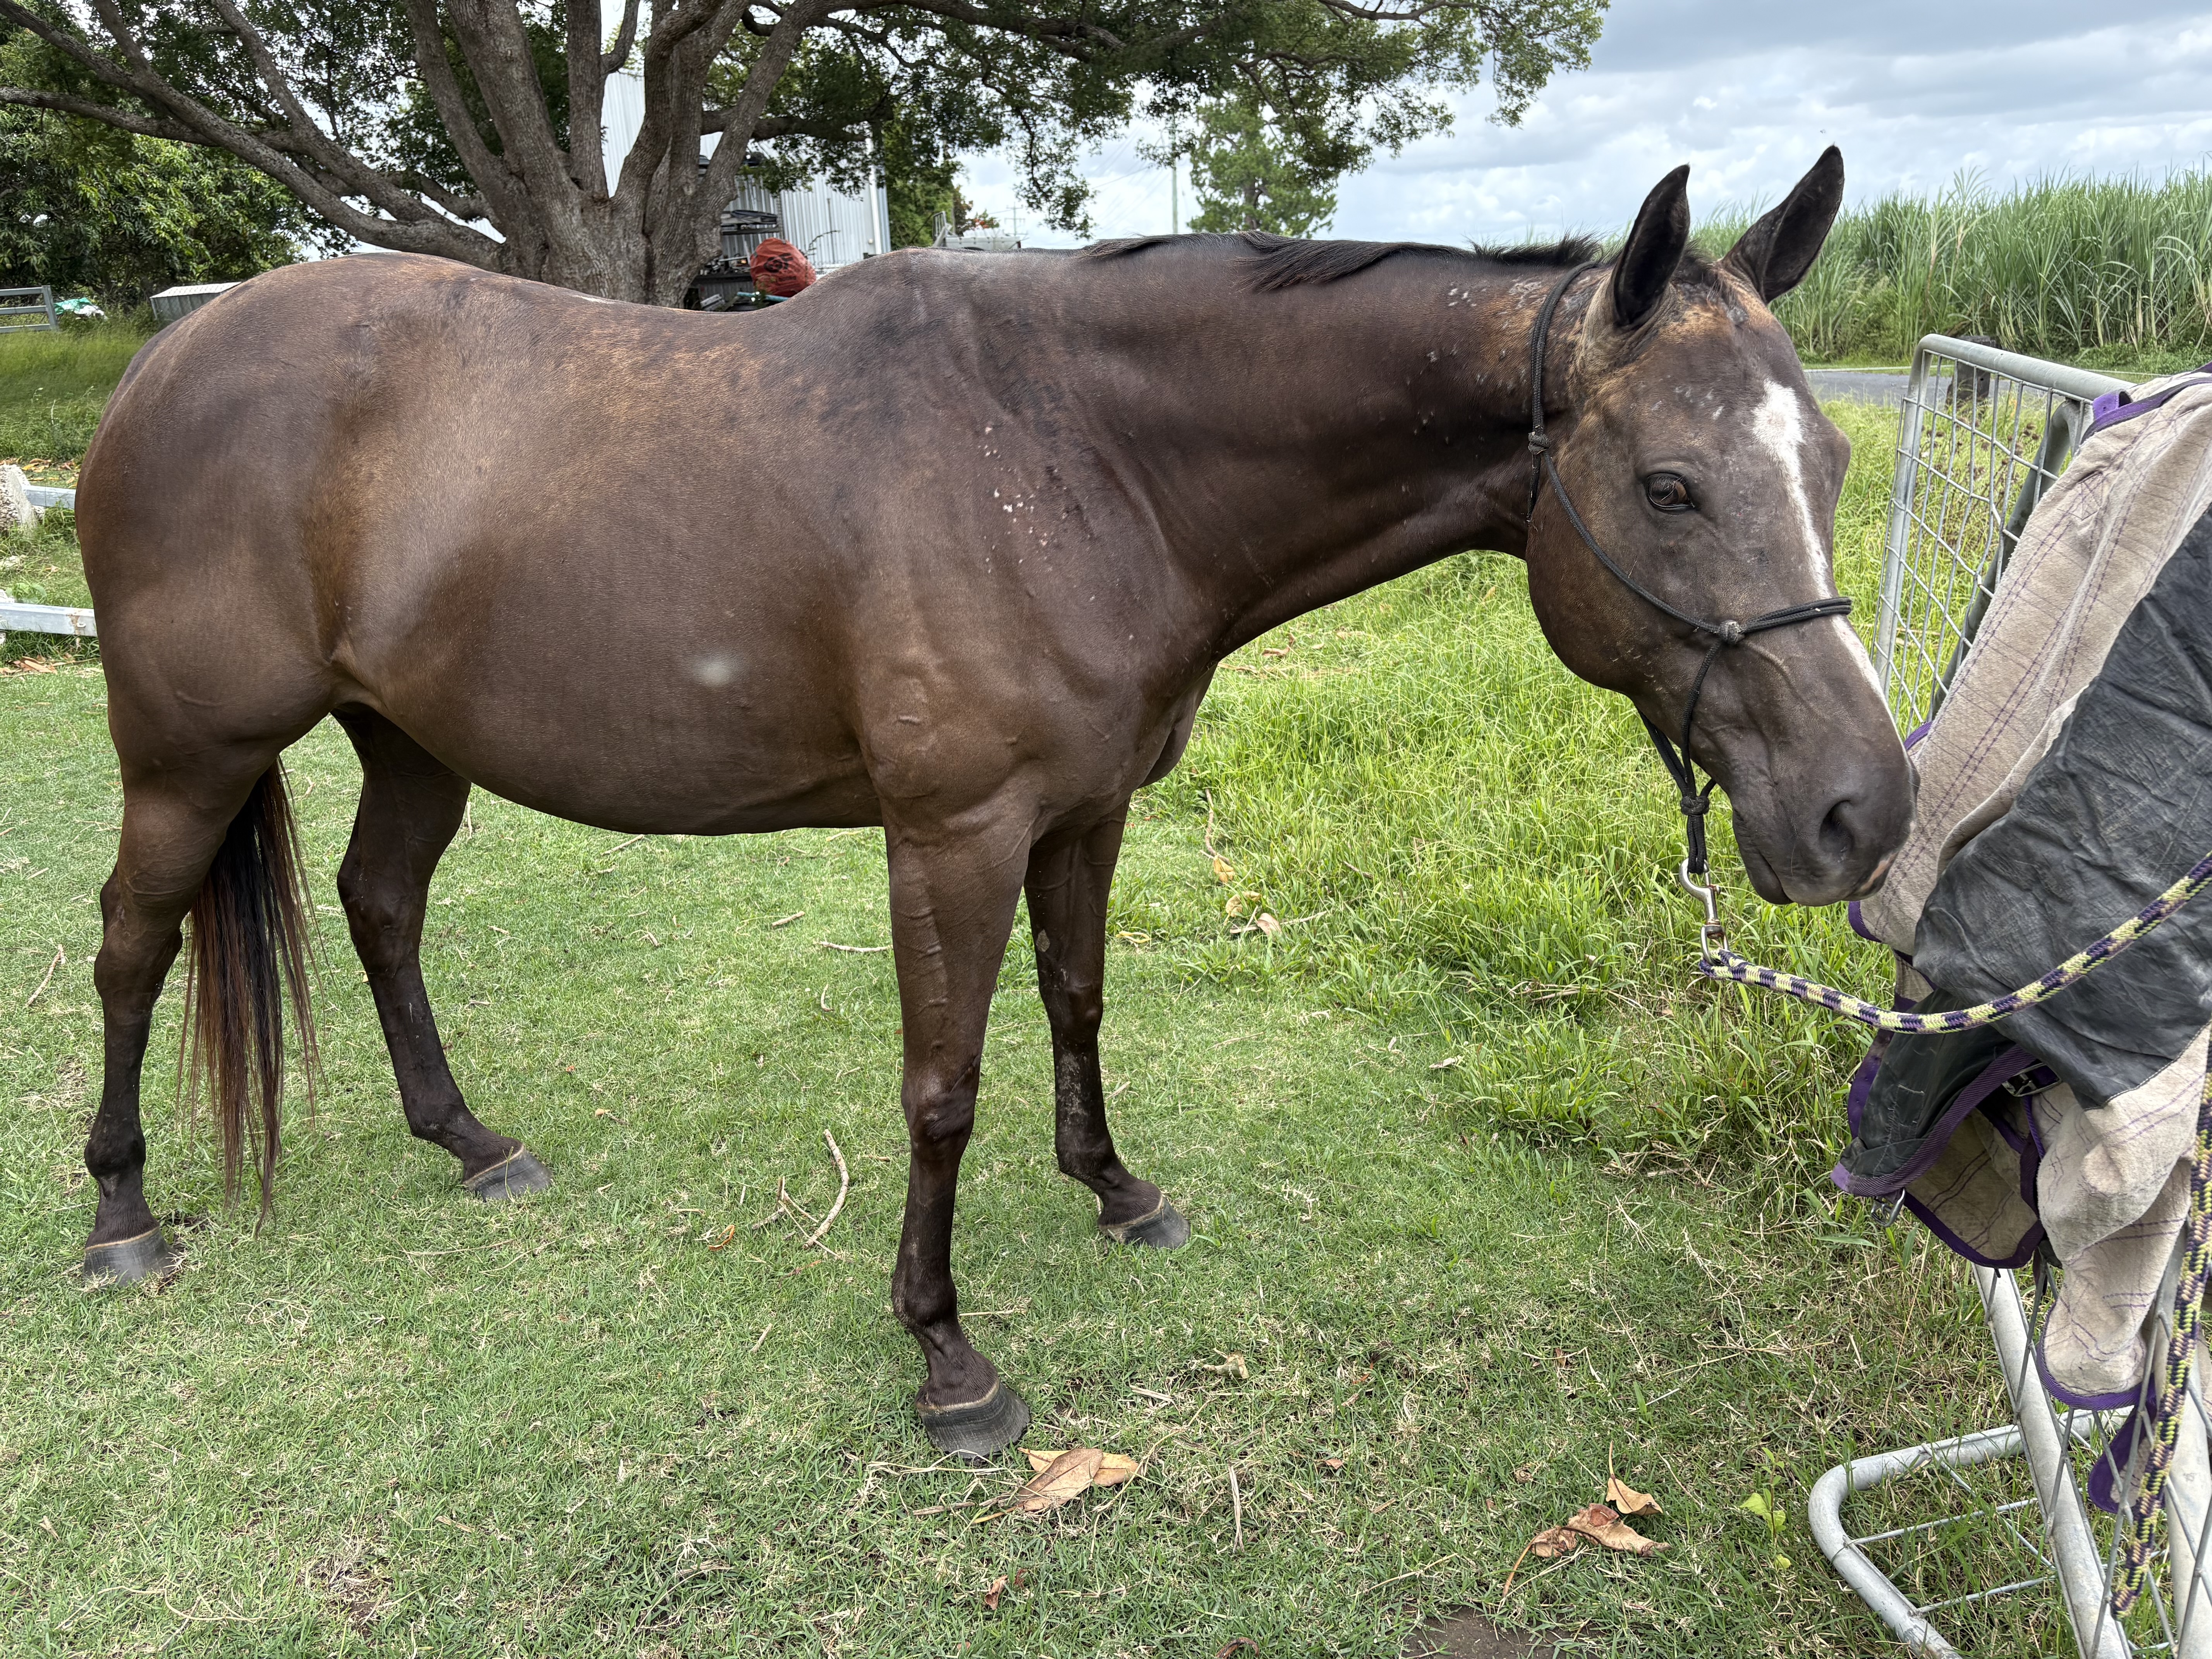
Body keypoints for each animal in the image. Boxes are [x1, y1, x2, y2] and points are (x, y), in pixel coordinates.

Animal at [74, 148, 1911, 1458]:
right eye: (1669, 484)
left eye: (1826, 463)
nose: (1864, 811)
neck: (1071, 452)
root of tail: (164, 363)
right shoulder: (947, 838)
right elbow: (941, 1085)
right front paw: (948, 1356)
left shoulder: (1083, 815)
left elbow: (1077, 1002)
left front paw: (1118, 1190)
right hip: (188, 756)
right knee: (132, 947)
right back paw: (121, 1219)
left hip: (410, 741)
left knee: (381, 907)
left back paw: (469, 1141)